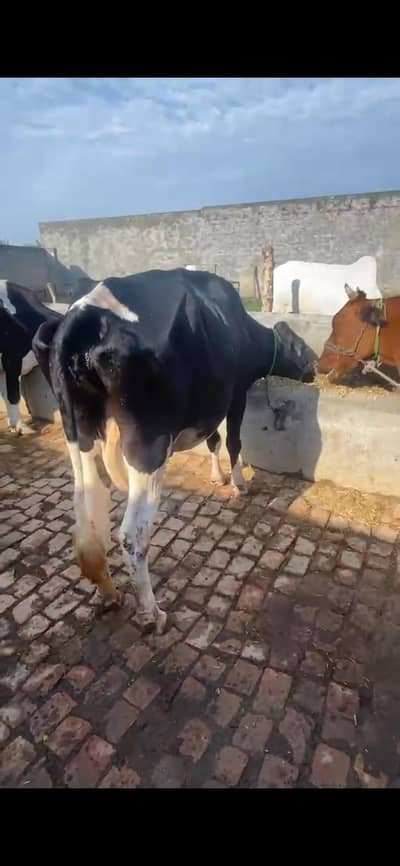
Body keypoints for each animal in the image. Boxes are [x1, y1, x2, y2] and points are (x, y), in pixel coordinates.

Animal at [32, 268, 316, 634]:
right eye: (300, 346)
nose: (316, 364)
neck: (239, 325)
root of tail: (81, 314)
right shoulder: (235, 393)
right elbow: (232, 440)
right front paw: (239, 484)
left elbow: (213, 440)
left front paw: (217, 476)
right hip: (148, 445)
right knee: (131, 536)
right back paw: (152, 613)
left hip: (79, 436)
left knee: (87, 527)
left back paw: (109, 594)